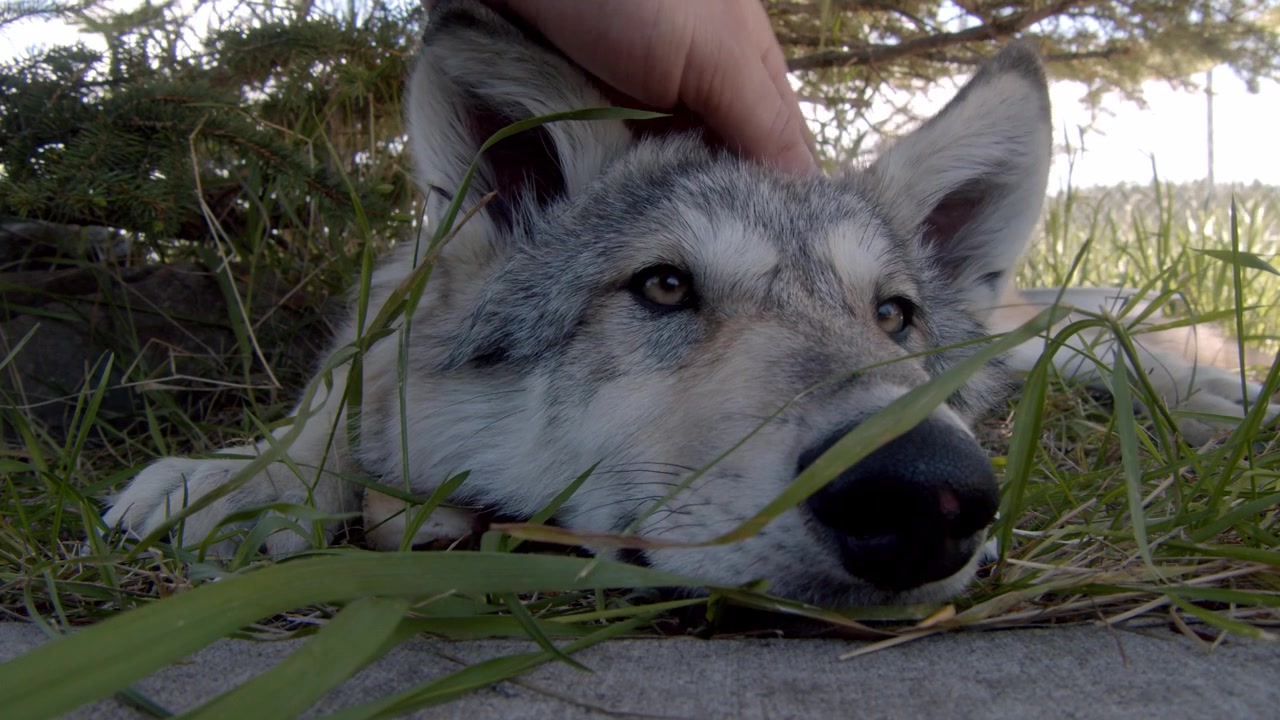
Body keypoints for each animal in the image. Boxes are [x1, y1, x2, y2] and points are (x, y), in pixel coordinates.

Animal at [102, 0, 1277, 606]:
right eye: (663, 286)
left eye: (890, 315)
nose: (925, 489)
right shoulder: (378, 317)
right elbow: (322, 412)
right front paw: (234, 482)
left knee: (1067, 334)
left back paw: (1213, 393)